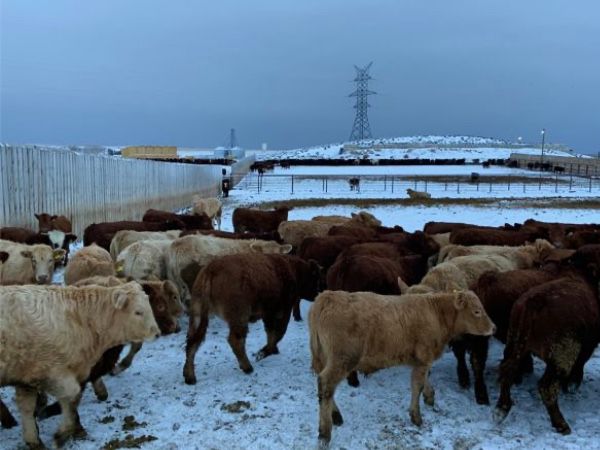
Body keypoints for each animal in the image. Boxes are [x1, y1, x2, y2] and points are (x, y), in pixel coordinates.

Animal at [0, 282, 159, 449]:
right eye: (138, 312)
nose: (157, 333)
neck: (79, 319)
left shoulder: (27, 378)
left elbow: (28, 408)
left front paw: (35, 440)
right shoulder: (53, 373)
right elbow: (72, 396)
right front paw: (62, 434)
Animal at [183, 253, 321, 384]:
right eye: (316, 278)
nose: (319, 293)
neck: (294, 269)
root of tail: (211, 270)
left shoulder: (268, 314)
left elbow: (271, 333)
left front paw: (271, 350)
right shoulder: (282, 311)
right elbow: (278, 333)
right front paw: (263, 352)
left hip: (198, 315)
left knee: (192, 342)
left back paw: (189, 377)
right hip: (239, 317)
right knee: (235, 340)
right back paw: (248, 367)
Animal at [309, 289, 495, 445]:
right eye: (477, 311)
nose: (494, 328)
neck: (436, 315)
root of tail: (327, 296)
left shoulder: (421, 361)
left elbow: (424, 381)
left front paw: (430, 397)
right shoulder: (423, 358)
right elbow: (417, 386)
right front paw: (416, 416)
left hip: (323, 358)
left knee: (323, 387)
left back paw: (335, 416)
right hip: (342, 360)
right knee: (326, 385)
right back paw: (325, 432)